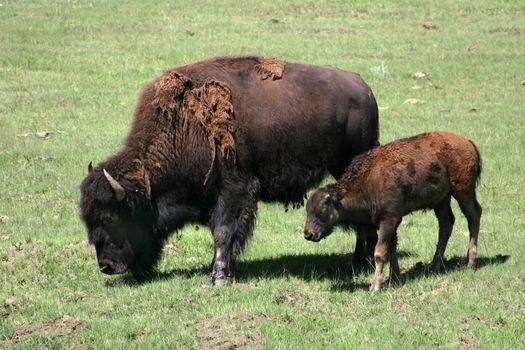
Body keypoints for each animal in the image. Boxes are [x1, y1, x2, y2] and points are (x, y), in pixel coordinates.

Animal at [80, 55, 378, 284]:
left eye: (110, 217)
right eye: (87, 220)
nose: (106, 266)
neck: (183, 128)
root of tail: (363, 87)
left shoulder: (234, 190)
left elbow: (223, 232)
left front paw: (219, 276)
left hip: (348, 164)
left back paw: (360, 264)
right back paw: (361, 263)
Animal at [300, 131, 482, 292]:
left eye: (322, 208)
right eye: (307, 210)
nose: (308, 234)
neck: (366, 182)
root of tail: (467, 141)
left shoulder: (389, 220)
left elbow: (380, 252)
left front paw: (375, 287)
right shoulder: (392, 222)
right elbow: (392, 249)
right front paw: (394, 279)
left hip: (463, 191)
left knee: (474, 216)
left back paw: (470, 264)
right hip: (441, 201)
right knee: (446, 225)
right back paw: (433, 266)